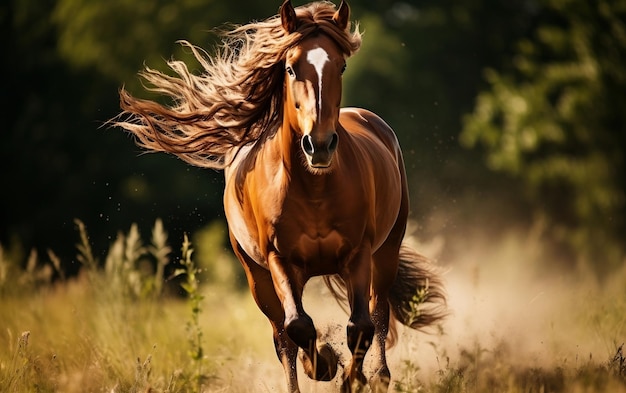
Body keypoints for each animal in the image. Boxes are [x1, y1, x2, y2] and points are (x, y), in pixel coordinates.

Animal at [112, 1, 444, 390]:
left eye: (341, 66)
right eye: (289, 67)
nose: (320, 145)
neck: (314, 189)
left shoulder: (359, 252)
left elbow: (360, 325)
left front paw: (351, 378)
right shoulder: (278, 259)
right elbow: (298, 326)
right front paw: (324, 364)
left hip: (386, 250)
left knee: (377, 313)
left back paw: (378, 375)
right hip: (257, 276)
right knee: (283, 336)